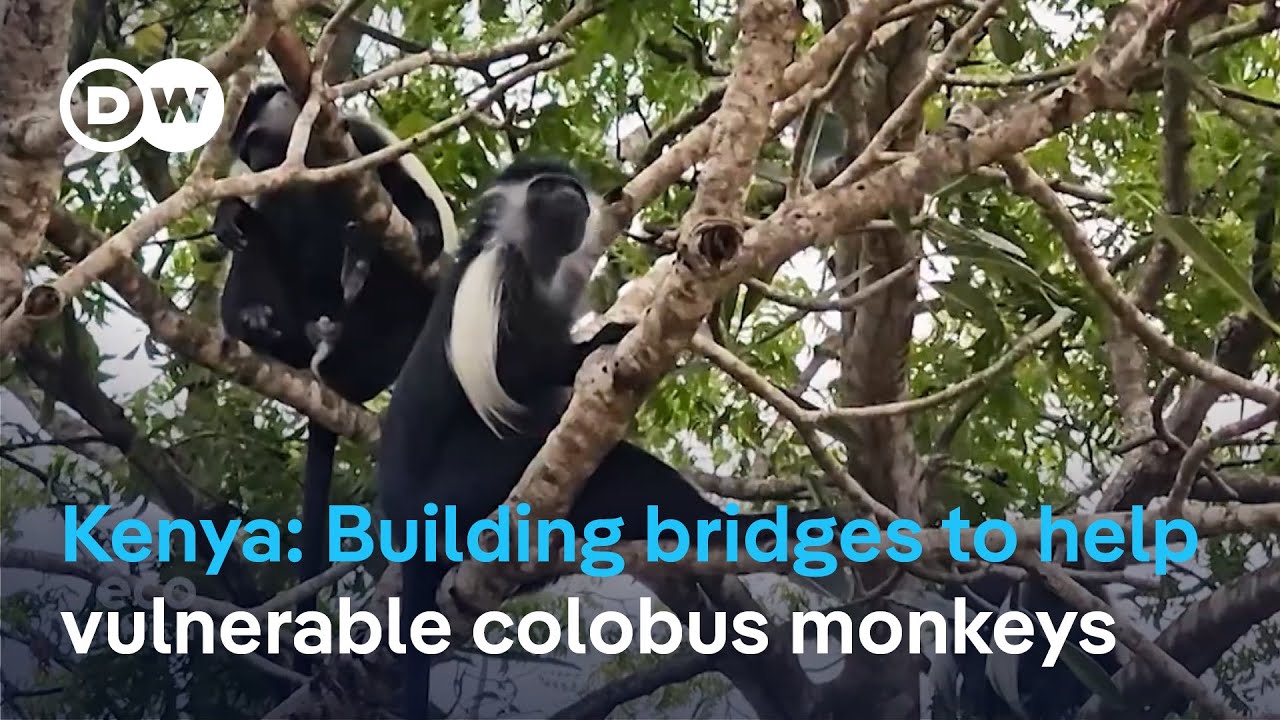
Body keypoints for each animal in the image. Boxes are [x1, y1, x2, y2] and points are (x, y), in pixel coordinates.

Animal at [215, 83, 459, 621]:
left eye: (257, 140)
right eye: (244, 150)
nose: (254, 162)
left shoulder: (362, 143)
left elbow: (406, 198)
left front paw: (419, 232)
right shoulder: (280, 184)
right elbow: (257, 221)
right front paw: (229, 214)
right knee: (261, 237)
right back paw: (260, 326)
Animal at [376, 157, 836, 718]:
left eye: (571, 186)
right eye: (546, 185)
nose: (569, 194)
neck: (537, 262)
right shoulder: (495, 273)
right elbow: (514, 376)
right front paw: (606, 337)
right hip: (461, 487)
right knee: (604, 466)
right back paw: (748, 530)